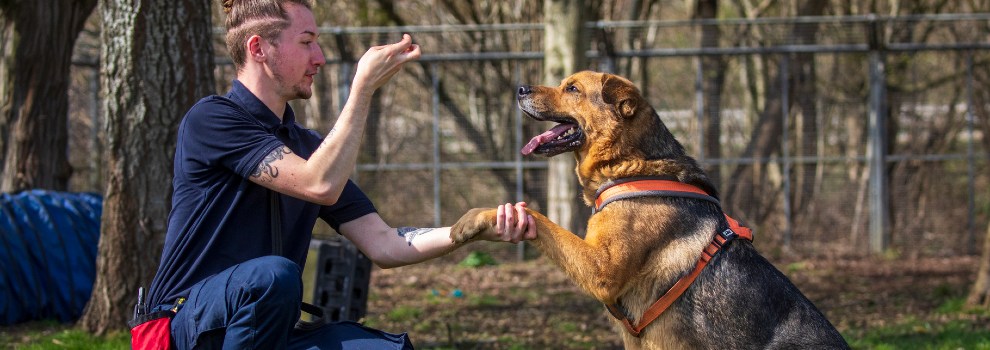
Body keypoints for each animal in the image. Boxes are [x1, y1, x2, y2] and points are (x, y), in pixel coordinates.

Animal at [454, 72, 848, 350]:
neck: (630, 165)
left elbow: (539, 218)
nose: (520, 88)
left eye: (572, 89)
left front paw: (475, 219)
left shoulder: (602, 272)